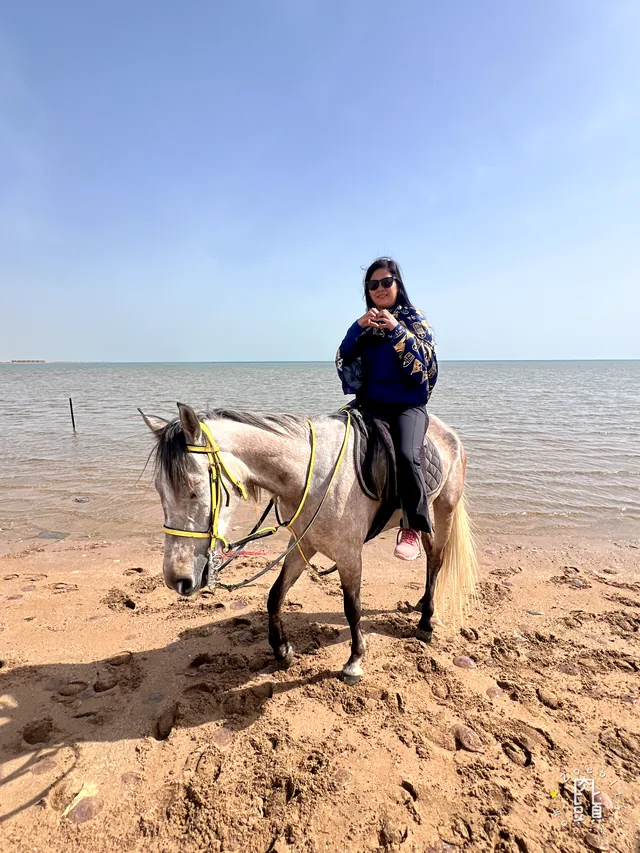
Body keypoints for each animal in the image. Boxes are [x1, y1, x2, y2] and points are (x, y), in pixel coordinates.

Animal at [140, 402, 478, 684]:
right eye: (160, 489)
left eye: (195, 489)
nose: (177, 580)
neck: (310, 475)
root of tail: (449, 433)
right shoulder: (303, 544)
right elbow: (275, 595)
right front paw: (282, 650)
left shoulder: (349, 554)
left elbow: (352, 607)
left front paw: (354, 661)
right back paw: (421, 603)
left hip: (444, 509)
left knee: (437, 558)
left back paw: (426, 622)